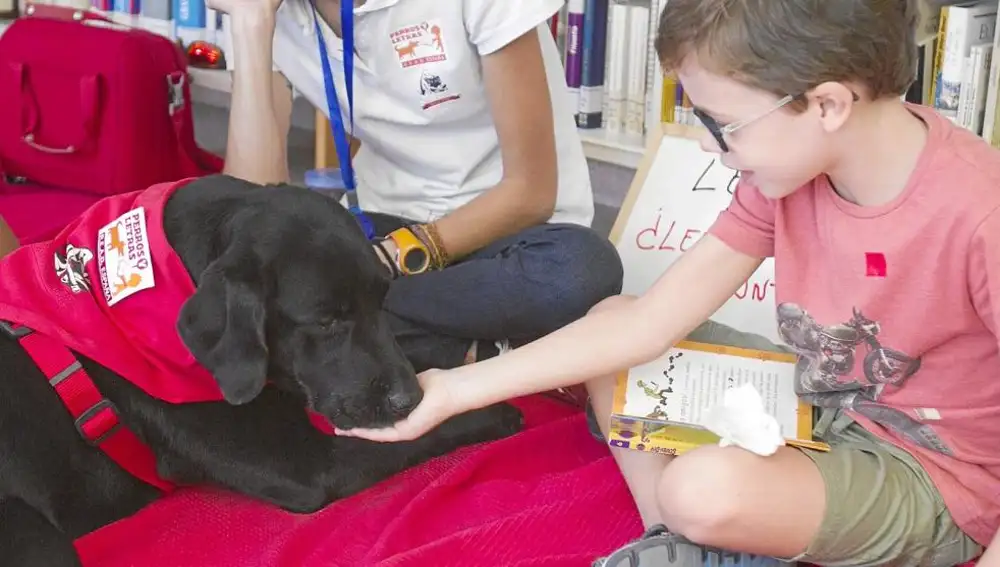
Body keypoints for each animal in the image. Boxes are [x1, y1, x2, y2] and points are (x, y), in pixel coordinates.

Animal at [0, 175, 528, 564]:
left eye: (383, 298)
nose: (407, 399)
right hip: (35, 536)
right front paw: (496, 410)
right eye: (326, 320)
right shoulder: (303, 468)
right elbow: (419, 435)